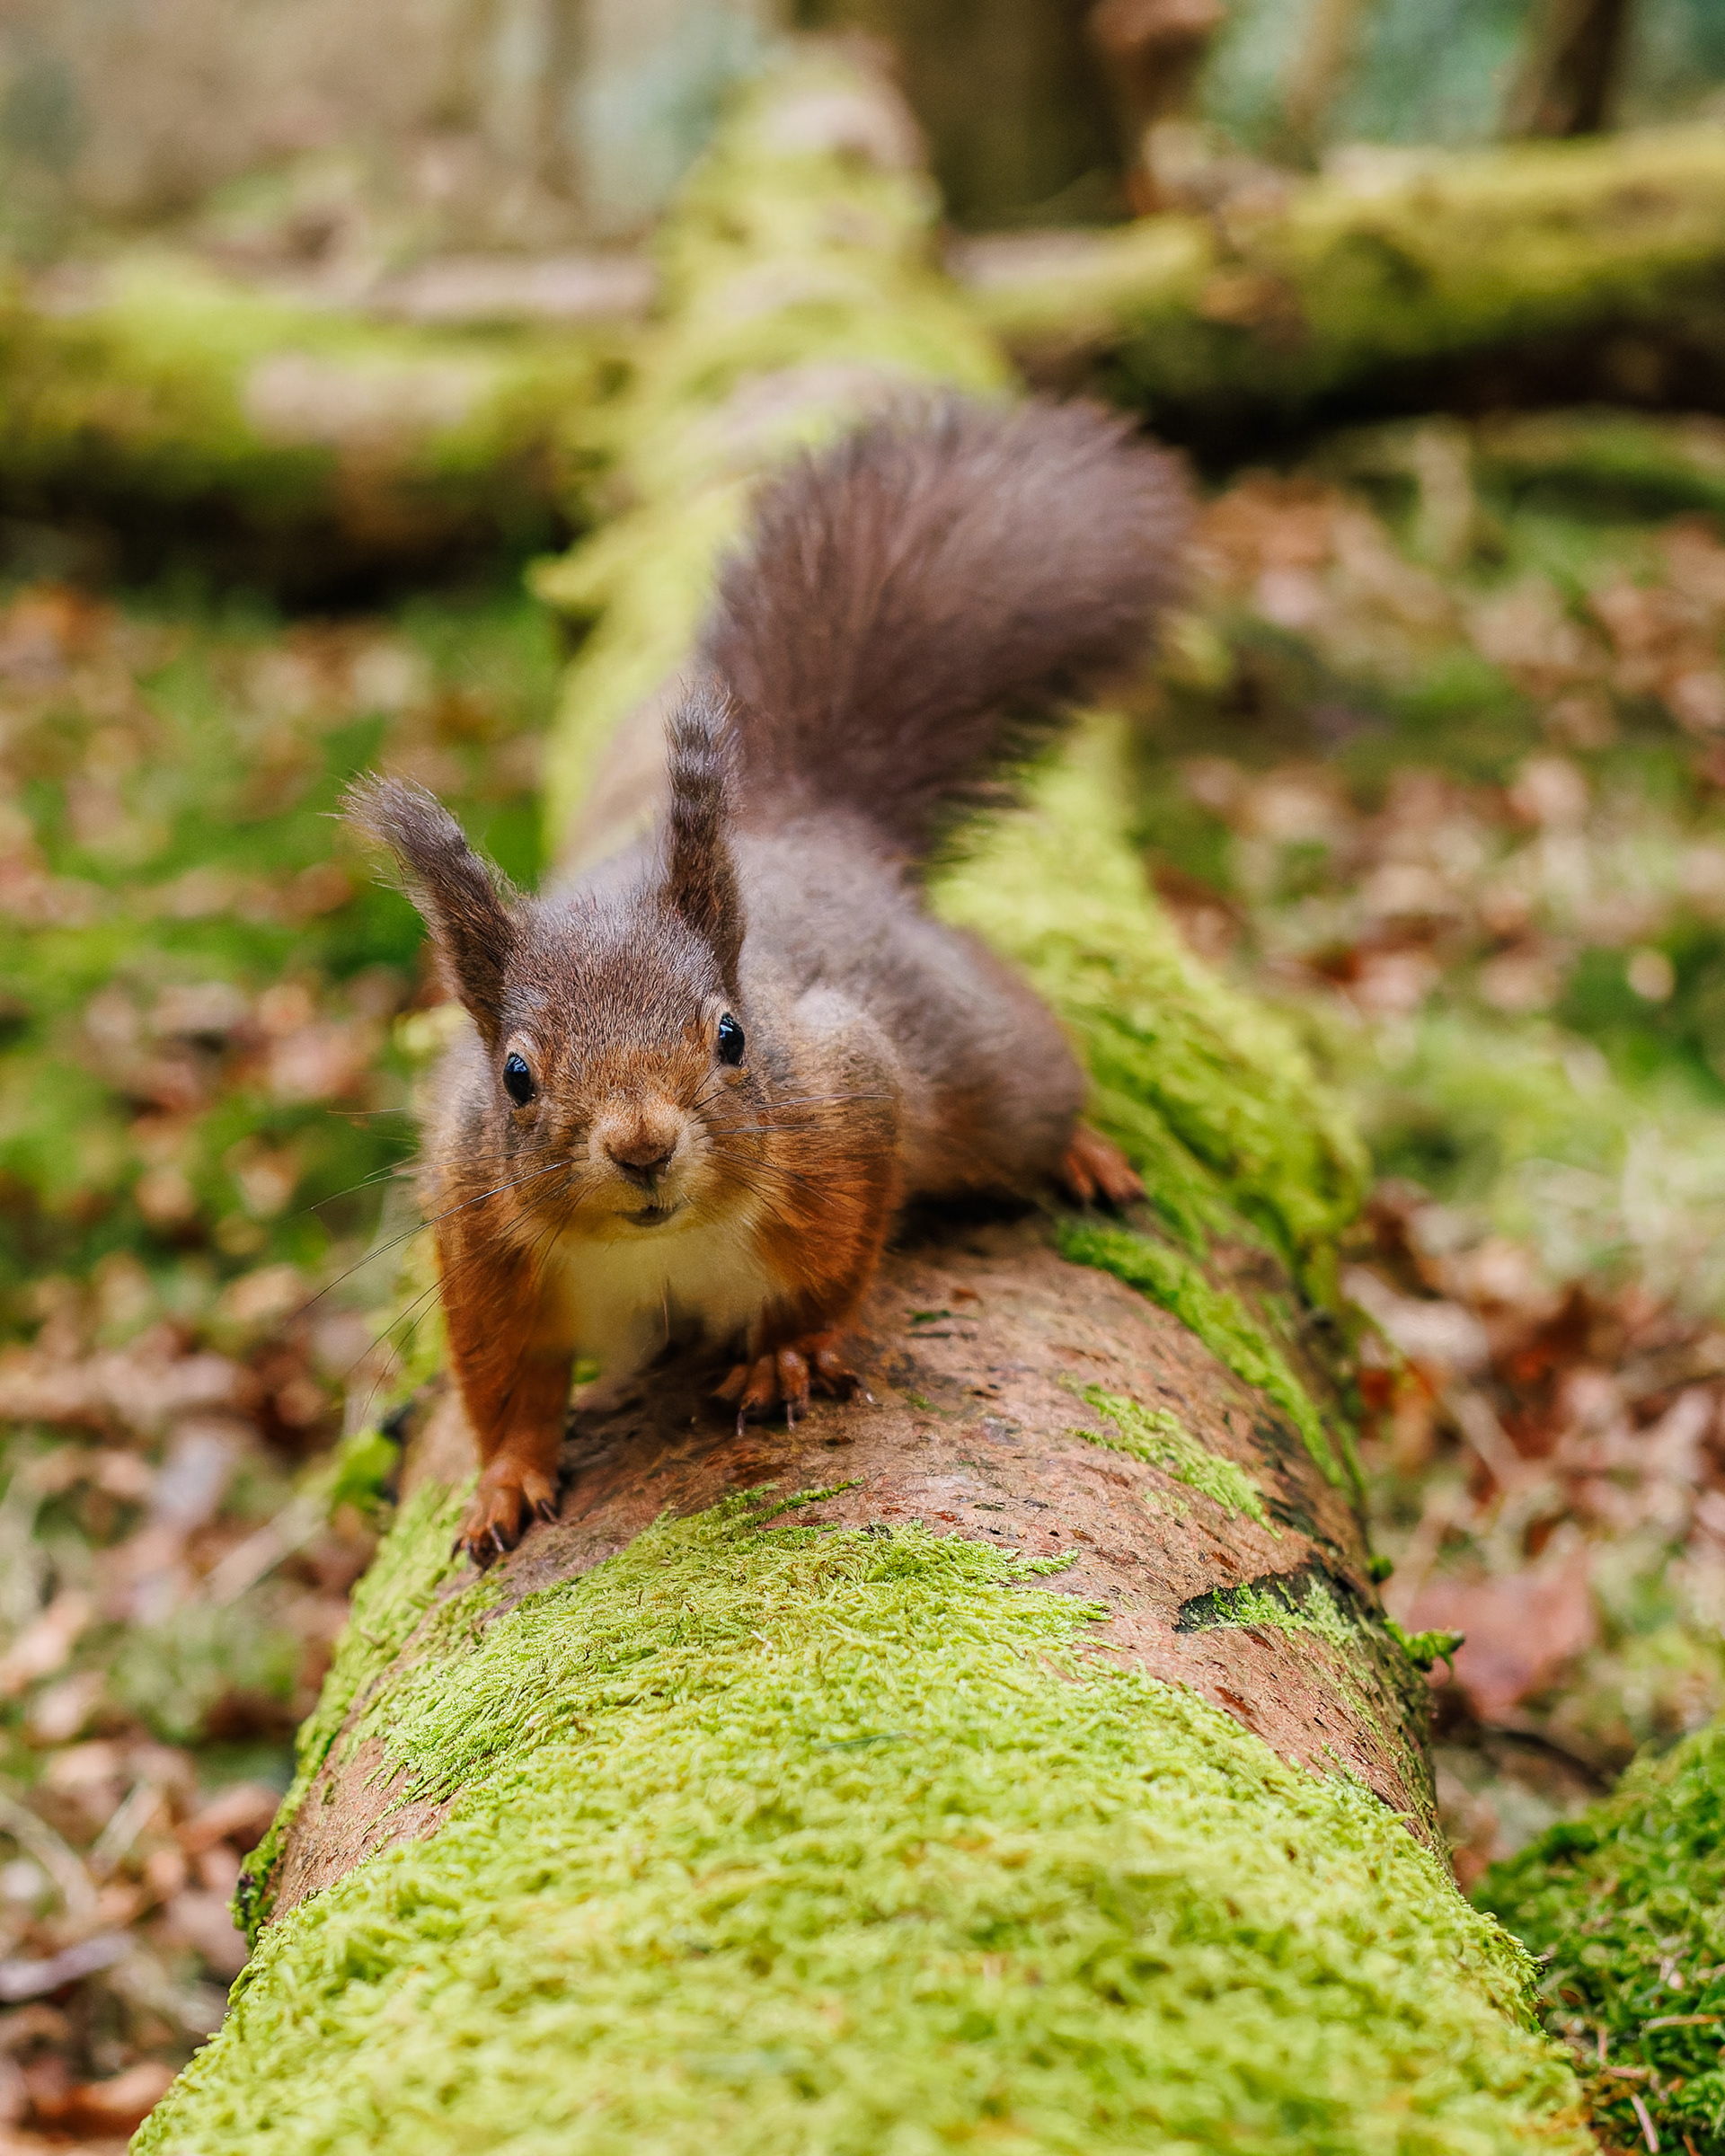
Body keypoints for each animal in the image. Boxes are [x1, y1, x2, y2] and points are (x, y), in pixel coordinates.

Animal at [346, 395, 1190, 1563]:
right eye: (515, 1076)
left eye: (732, 1036)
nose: (643, 1147)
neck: (658, 1243)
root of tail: (811, 829)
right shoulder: (477, 1229)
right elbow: (504, 1384)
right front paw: (504, 1483)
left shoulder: (848, 1100)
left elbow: (831, 1271)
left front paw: (786, 1354)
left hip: (982, 1060)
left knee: (1029, 1084)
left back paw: (1083, 1153)